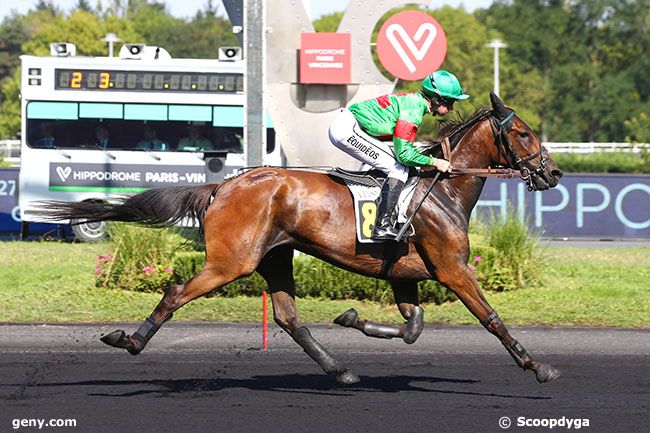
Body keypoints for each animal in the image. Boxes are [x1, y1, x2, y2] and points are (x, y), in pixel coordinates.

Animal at [38, 93, 560, 384]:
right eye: (522, 132)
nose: (552, 173)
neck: (443, 189)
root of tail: (223, 186)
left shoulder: (406, 275)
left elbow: (413, 327)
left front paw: (353, 318)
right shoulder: (452, 269)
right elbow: (491, 318)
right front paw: (537, 366)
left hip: (275, 257)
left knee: (290, 319)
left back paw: (340, 370)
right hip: (232, 261)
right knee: (175, 291)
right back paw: (128, 340)